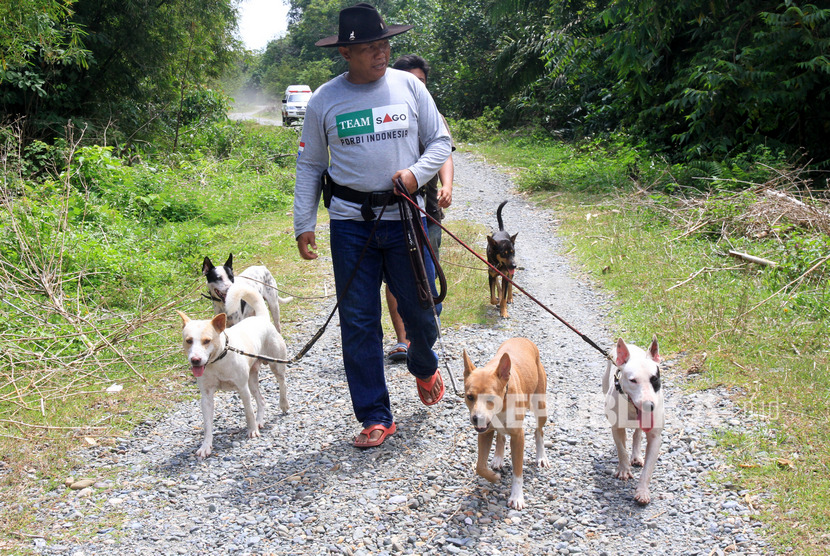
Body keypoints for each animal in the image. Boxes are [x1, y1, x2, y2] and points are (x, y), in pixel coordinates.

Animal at [177, 298, 290, 458]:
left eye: (207, 341)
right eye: (188, 341)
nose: (195, 360)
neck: (218, 360)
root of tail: (260, 318)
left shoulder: (243, 389)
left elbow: (248, 413)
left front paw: (252, 431)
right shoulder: (206, 397)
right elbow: (207, 425)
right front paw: (206, 446)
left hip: (275, 365)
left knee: (282, 383)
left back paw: (283, 404)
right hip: (252, 380)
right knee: (261, 400)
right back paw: (260, 420)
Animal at [462, 336, 552, 510]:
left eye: (490, 398)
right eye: (470, 397)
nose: (476, 418)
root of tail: (522, 338)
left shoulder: (518, 437)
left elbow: (517, 472)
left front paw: (517, 497)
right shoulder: (485, 432)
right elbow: (480, 466)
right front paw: (493, 477)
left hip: (541, 406)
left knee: (539, 431)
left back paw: (541, 456)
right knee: (501, 435)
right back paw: (498, 457)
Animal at [600, 336, 668, 506]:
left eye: (654, 379)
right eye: (633, 380)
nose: (649, 405)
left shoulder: (655, 437)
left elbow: (648, 469)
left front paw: (642, 492)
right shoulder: (616, 428)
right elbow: (621, 450)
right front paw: (624, 470)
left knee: (638, 434)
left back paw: (636, 456)